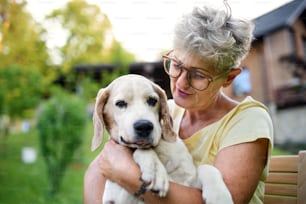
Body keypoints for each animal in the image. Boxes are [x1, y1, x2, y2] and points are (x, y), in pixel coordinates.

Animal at [90, 74, 232, 203]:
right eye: (120, 104)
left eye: (152, 100)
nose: (144, 126)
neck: (159, 151)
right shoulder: (117, 196)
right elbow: (142, 151)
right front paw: (155, 170)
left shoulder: (189, 181)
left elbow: (206, 168)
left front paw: (219, 196)